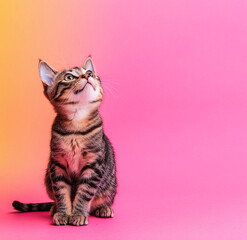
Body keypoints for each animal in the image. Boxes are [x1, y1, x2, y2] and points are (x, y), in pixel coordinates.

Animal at [12, 56, 117, 225]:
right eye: (69, 77)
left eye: (90, 73)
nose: (87, 76)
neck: (76, 127)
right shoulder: (58, 166)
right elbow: (61, 193)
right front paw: (62, 213)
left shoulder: (93, 165)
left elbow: (84, 193)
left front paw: (78, 213)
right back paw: (54, 208)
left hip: (109, 187)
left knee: (100, 200)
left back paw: (103, 208)